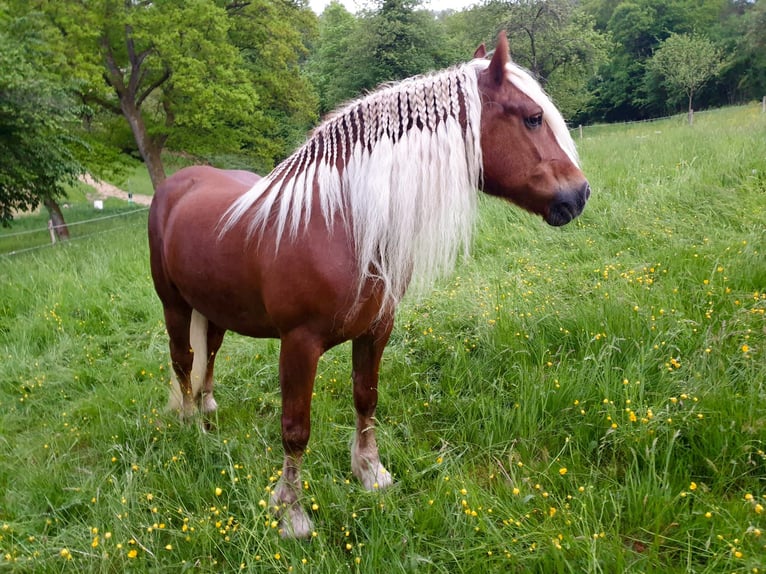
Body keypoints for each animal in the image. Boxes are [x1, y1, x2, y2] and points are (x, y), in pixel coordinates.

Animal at [150, 35, 592, 540]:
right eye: (533, 117)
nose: (579, 194)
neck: (342, 221)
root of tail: (176, 184)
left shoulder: (376, 329)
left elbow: (367, 398)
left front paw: (370, 473)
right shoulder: (298, 344)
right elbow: (295, 428)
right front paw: (292, 512)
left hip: (215, 307)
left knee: (210, 352)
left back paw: (207, 406)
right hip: (174, 304)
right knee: (183, 359)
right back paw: (190, 423)